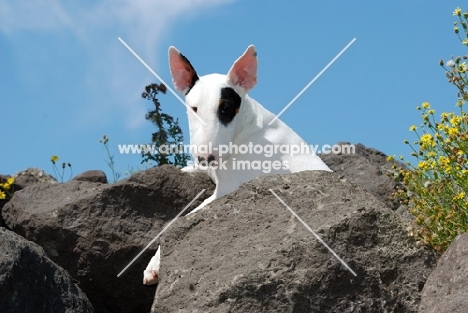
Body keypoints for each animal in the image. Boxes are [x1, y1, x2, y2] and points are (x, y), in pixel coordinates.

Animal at [143, 44, 330, 286]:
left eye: (226, 108)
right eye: (194, 109)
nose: (205, 157)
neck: (245, 129)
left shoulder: (227, 190)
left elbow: (185, 216)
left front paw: (154, 264)